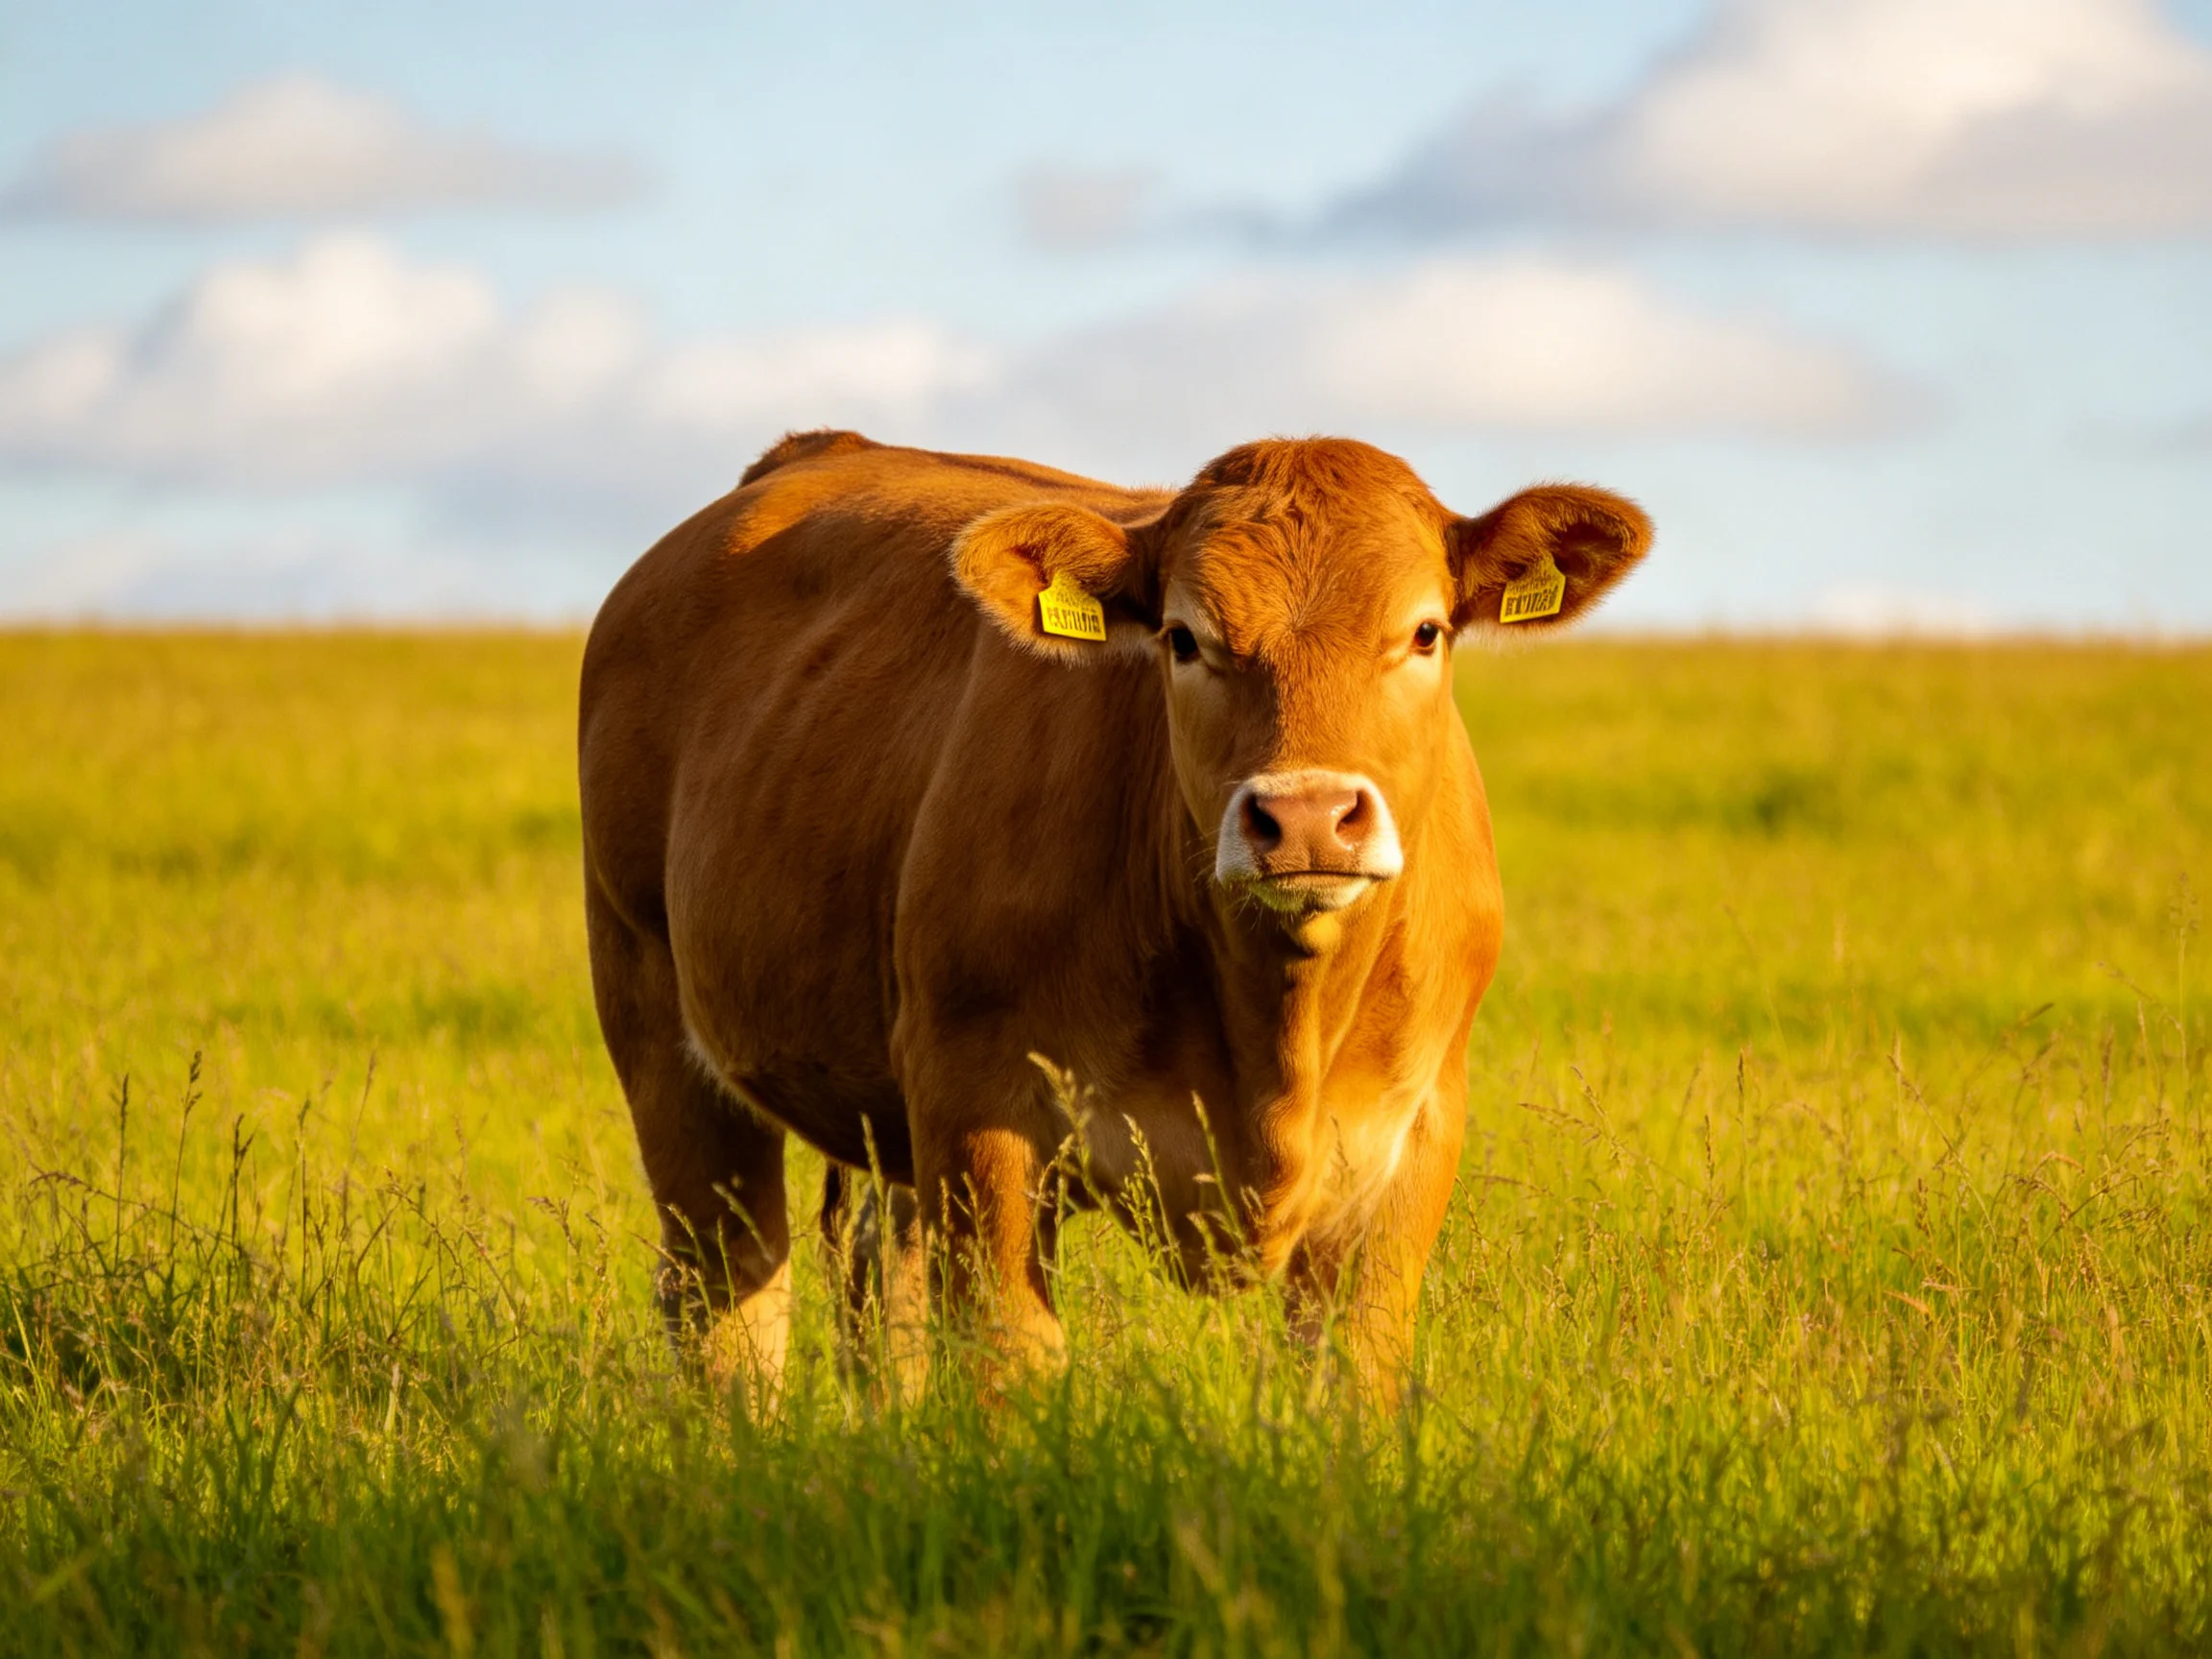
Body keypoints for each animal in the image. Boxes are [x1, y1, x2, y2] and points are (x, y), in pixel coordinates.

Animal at [578, 429, 1649, 1397]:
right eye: (1184, 638)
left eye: (1425, 631)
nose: (1307, 816)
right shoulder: (981, 1112)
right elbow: (1008, 1367)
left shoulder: (1412, 1137)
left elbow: (1352, 1376)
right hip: (658, 1024)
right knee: (727, 1307)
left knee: (880, 1284)